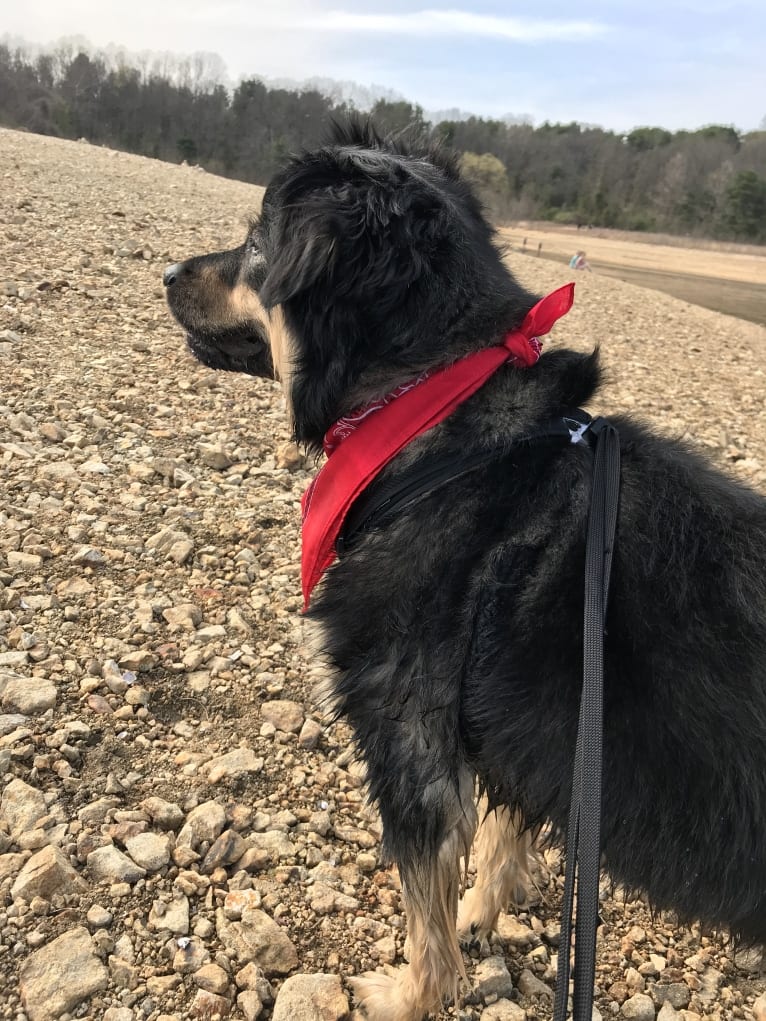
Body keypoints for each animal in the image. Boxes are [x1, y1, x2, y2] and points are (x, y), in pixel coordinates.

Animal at [165, 119, 766, 1021]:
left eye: (256, 242)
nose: (167, 273)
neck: (430, 405)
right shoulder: (539, 735)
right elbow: (503, 831)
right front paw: (485, 915)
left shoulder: (408, 732)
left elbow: (426, 897)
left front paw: (410, 993)